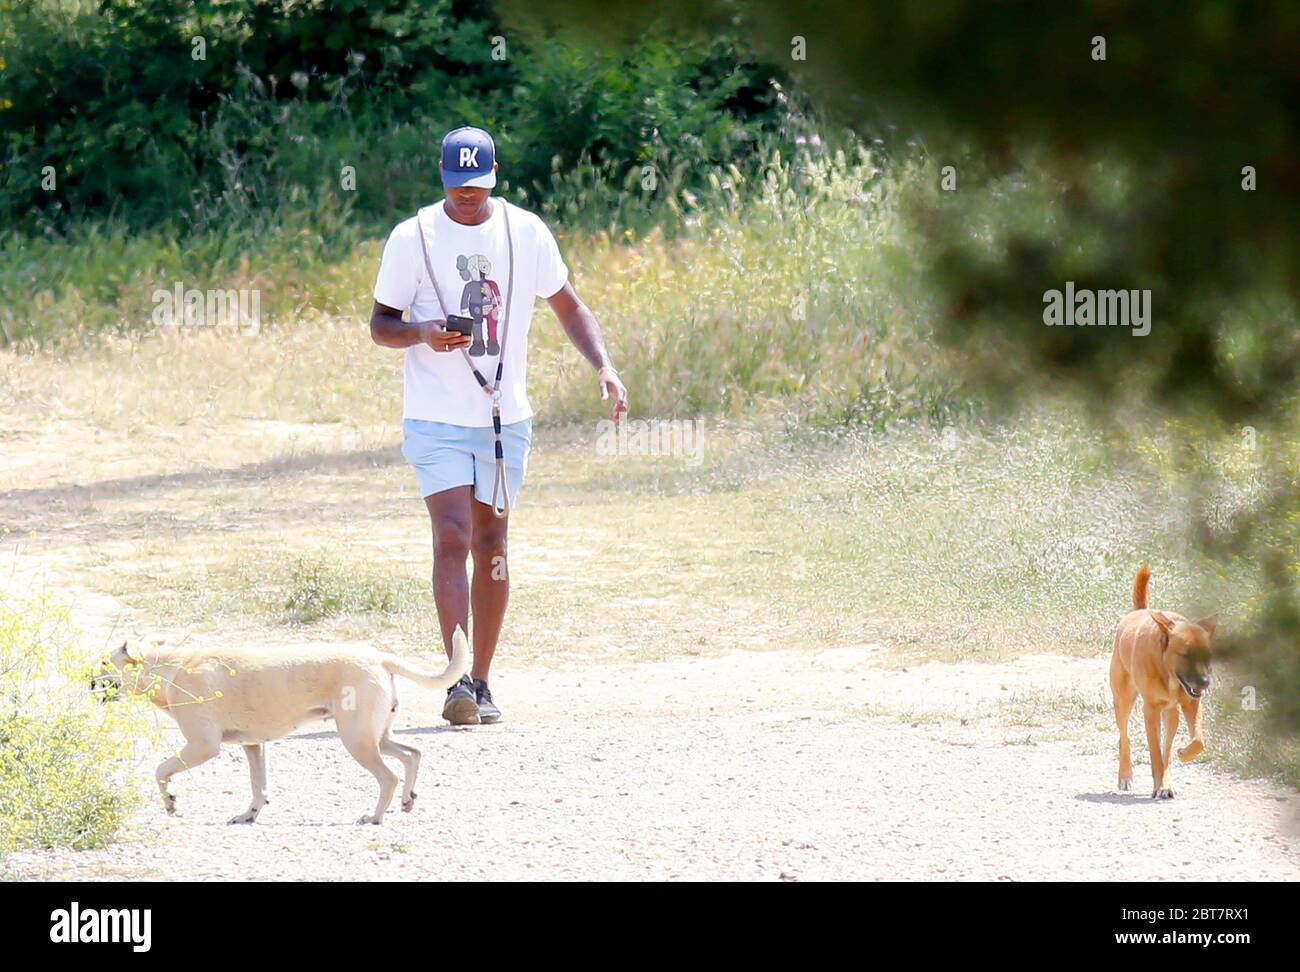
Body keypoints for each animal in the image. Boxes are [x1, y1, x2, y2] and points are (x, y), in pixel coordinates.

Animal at [100, 626, 467, 826]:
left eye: (104, 663)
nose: (89, 681)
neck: (172, 669)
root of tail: (379, 657)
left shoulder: (202, 747)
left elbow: (161, 771)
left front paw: (170, 803)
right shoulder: (253, 746)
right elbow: (258, 788)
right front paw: (248, 815)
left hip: (357, 740)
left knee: (389, 775)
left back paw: (375, 817)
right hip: (376, 737)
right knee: (411, 754)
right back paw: (407, 800)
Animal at [1112, 569, 1211, 795]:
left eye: (1207, 655)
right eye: (1185, 654)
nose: (1205, 682)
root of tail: (1139, 611)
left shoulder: (1191, 703)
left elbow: (1197, 741)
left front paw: (1184, 753)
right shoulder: (1150, 710)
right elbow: (1155, 755)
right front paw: (1158, 785)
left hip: (1171, 713)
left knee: (1167, 750)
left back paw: (1168, 780)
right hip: (1123, 698)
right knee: (1124, 737)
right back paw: (1125, 776)